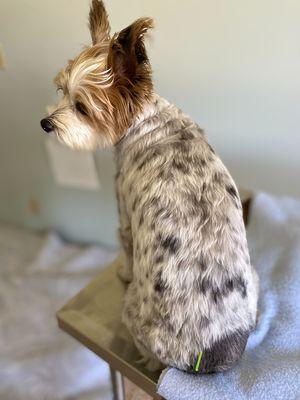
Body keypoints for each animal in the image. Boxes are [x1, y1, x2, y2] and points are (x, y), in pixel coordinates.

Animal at [41, 0, 258, 376]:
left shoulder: (124, 214)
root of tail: (208, 354)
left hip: (132, 312)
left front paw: (124, 271)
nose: (45, 123)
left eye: (81, 108)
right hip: (255, 282)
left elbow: (126, 247)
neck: (147, 121)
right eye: (61, 91)